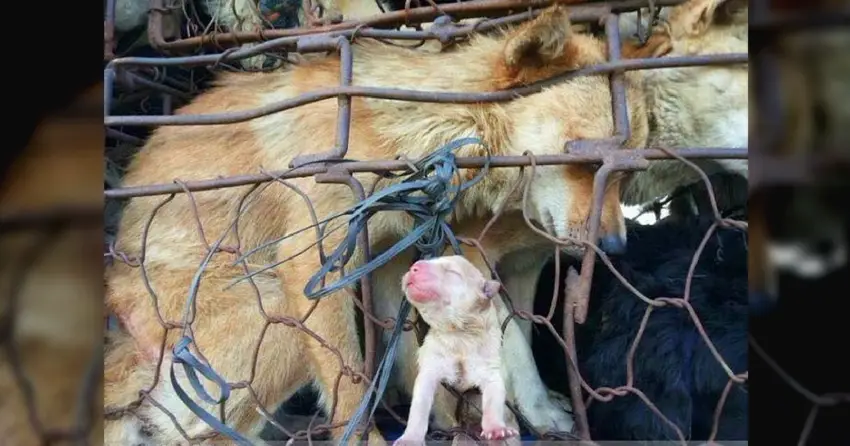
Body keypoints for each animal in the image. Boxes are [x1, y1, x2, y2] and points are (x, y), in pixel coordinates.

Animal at [396, 256, 516, 444]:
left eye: (452, 272)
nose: (414, 267)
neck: (459, 334)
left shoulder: (491, 370)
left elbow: (493, 399)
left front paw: (496, 428)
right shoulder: (430, 370)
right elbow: (419, 408)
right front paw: (410, 438)